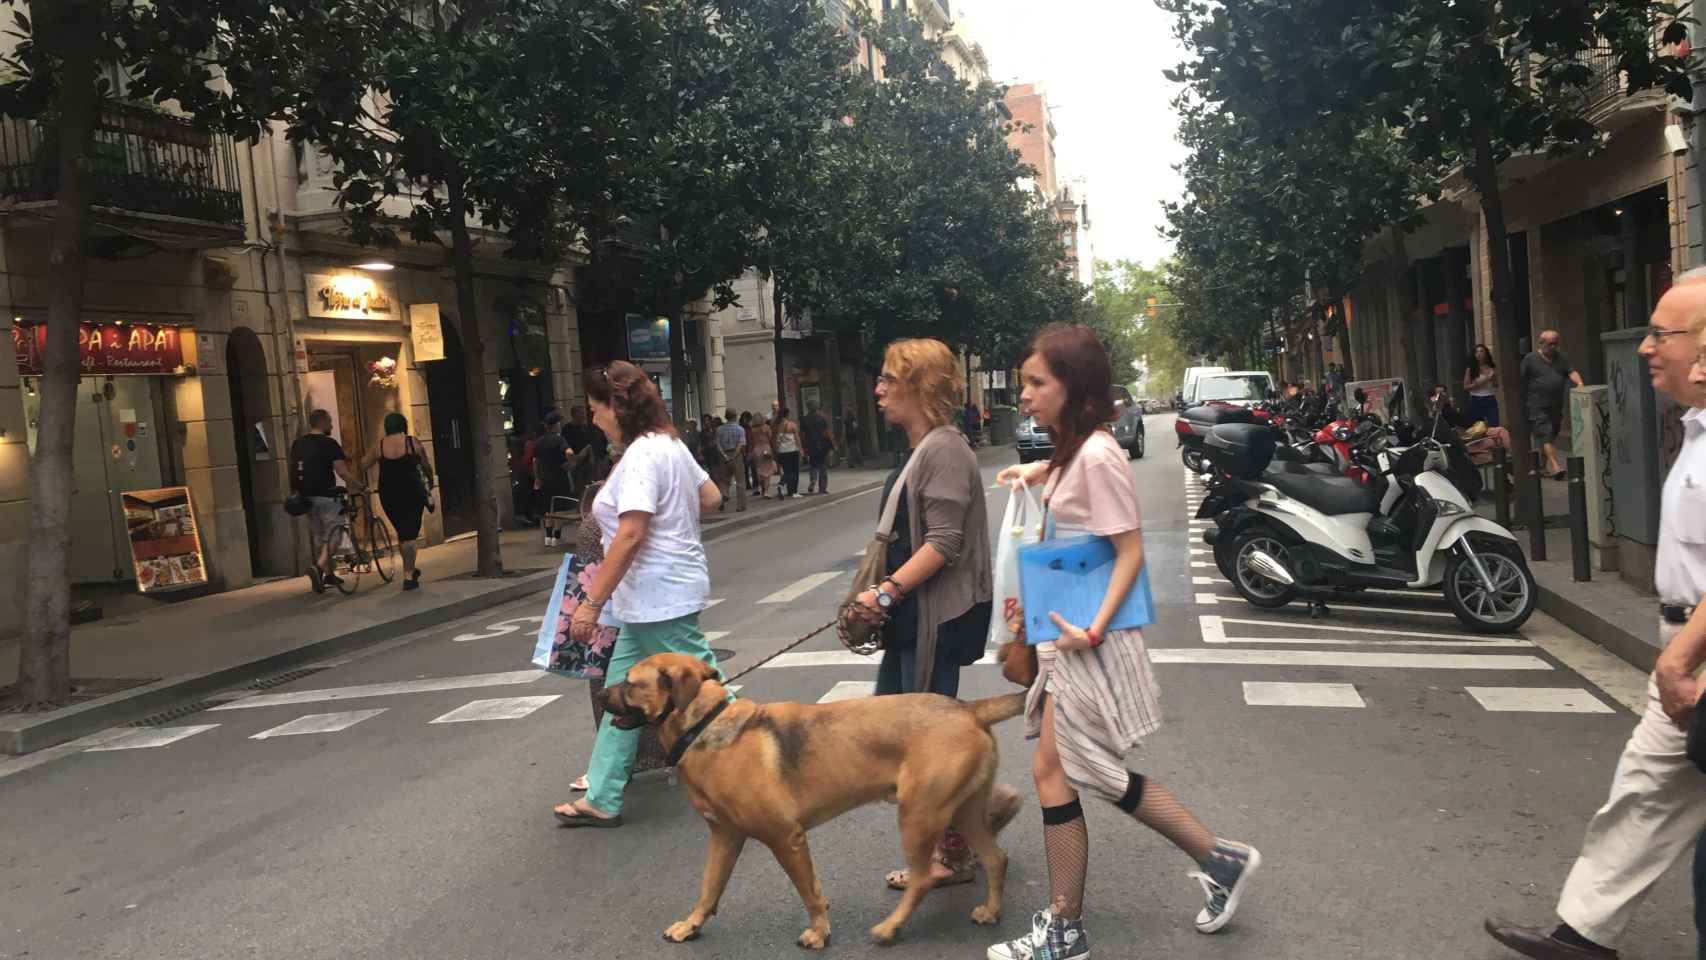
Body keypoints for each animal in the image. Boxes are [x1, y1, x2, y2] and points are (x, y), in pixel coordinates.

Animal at [603, 651, 1023, 948]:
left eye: (629, 682)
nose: (602, 692)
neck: (703, 725)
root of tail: (968, 708)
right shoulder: (724, 837)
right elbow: (709, 888)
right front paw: (692, 925)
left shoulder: (785, 838)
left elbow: (808, 892)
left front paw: (819, 932)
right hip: (962, 811)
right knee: (995, 858)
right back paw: (991, 910)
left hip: (917, 815)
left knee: (922, 879)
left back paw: (890, 927)